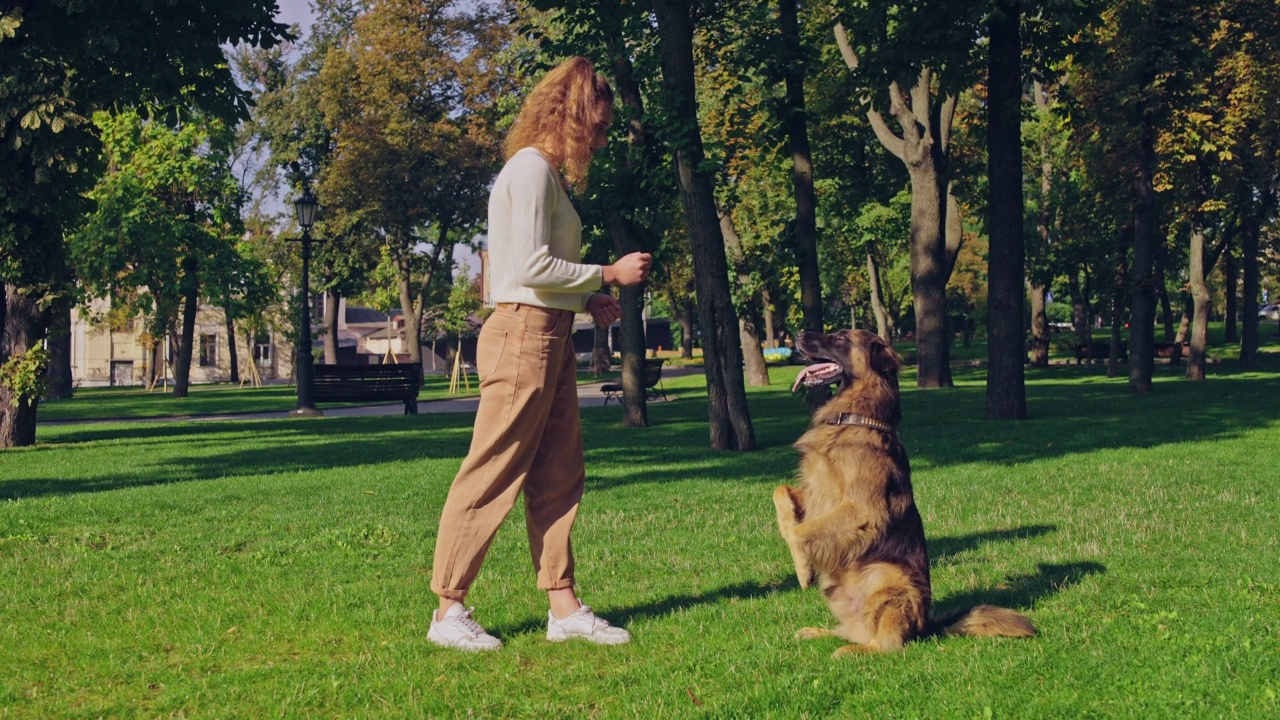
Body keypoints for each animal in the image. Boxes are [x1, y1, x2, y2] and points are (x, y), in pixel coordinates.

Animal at [768, 327, 1029, 653]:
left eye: (840, 337)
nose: (799, 333)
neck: (853, 418)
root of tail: (927, 625)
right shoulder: (817, 493)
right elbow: (780, 492)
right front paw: (788, 524)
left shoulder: (861, 509)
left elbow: (800, 533)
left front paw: (803, 571)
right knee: (854, 631)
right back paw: (819, 633)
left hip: (885, 575)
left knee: (888, 645)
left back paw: (853, 651)